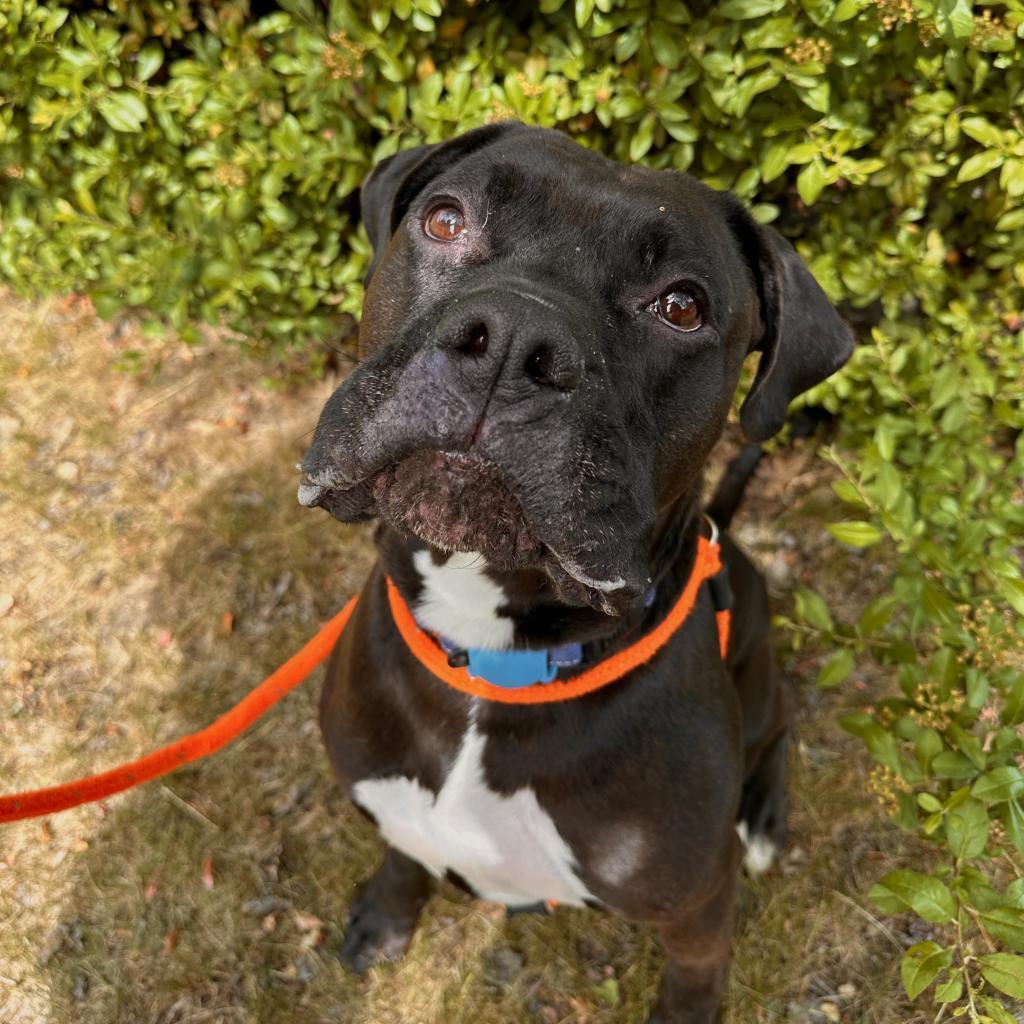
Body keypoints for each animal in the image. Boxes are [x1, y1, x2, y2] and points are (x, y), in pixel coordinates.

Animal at [299, 123, 851, 1019]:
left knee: (778, 728)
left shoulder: (699, 910)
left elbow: (693, 986)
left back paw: (764, 817)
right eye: (445, 219)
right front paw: (385, 916)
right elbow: (404, 854)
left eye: (682, 306)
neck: (493, 658)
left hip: (762, 668)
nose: (512, 336)